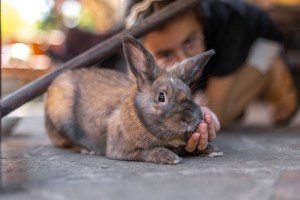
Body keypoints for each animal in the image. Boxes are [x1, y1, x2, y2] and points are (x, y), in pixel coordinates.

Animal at [44, 35, 219, 164]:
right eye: (161, 96)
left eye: (190, 93)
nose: (189, 117)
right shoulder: (121, 150)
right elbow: (147, 152)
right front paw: (170, 157)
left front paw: (211, 150)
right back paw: (87, 149)